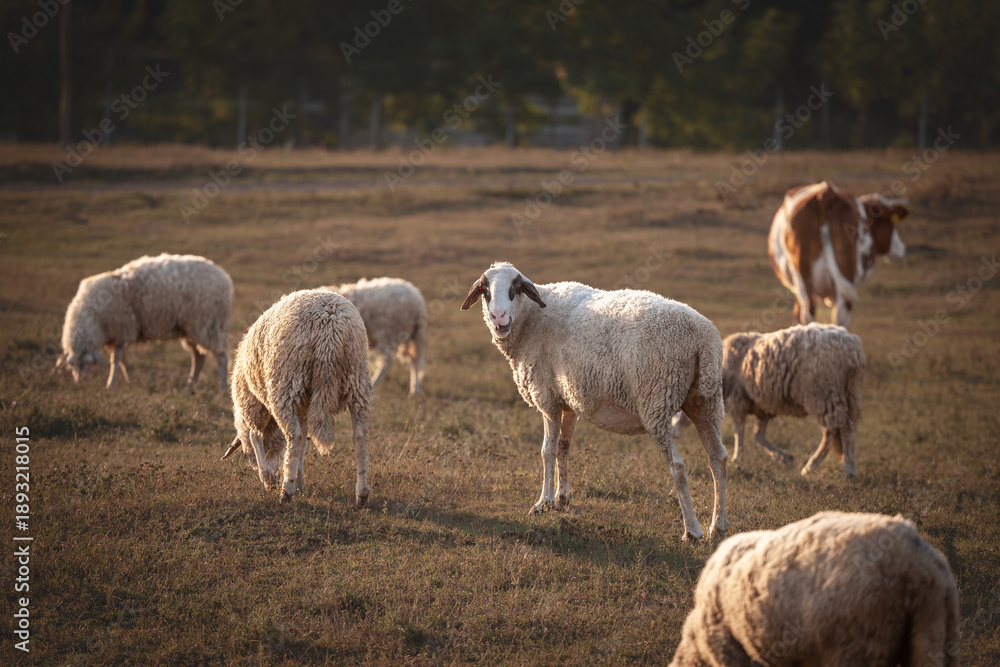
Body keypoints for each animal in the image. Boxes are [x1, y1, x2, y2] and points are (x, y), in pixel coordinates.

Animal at [56, 253, 232, 390]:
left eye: (87, 363)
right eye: (71, 365)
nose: (80, 384)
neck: (96, 320)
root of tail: (225, 278)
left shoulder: (122, 330)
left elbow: (116, 360)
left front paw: (110, 383)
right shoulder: (120, 334)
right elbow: (123, 361)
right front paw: (128, 379)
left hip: (208, 325)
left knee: (221, 357)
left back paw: (223, 387)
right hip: (191, 328)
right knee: (198, 356)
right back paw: (191, 383)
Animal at [221, 289, 375, 506]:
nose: (274, 478)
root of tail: (330, 328)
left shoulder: (253, 405)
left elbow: (256, 435)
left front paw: (268, 477)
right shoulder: (303, 407)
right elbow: (302, 443)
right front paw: (298, 480)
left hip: (287, 385)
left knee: (295, 436)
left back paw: (286, 492)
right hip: (357, 380)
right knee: (359, 436)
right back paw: (361, 495)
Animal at [461, 262, 728, 541]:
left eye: (516, 288)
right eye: (485, 290)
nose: (498, 318)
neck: (530, 319)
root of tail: (703, 339)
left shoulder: (547, 398)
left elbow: (547, 451)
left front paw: (542, 503)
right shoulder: (568, 401)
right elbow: (563, 448)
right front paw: (562, 499)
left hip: (656, 400)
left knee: (677, 467)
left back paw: (693, 531)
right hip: (704, 400)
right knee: (718, 459)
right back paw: (717, 527)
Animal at [721, 323, 865, 477]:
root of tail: (852, 348)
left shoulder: (737, 400)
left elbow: (739, 431)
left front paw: (737, 458)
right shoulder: (763, 407)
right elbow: (758, 435)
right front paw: (784, 458)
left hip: (825, 395)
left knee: (839, 430)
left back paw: (840, 468)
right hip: (848, 395)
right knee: (840, 429)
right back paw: (823, 466)